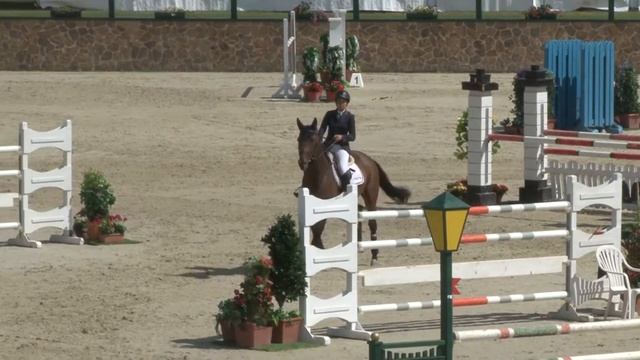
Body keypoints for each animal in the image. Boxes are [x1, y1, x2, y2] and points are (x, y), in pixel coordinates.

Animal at [296, 118, 410, 264]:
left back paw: (374, 255)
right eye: (299, 139)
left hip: (370, 194)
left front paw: (319, 251)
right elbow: (316, 228)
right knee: (359, 210)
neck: (318, 174)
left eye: (312, 139)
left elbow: (318, 228)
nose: (302, 163)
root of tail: (370, 160)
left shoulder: (324, 204)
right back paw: (358, 247)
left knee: (372, 221)